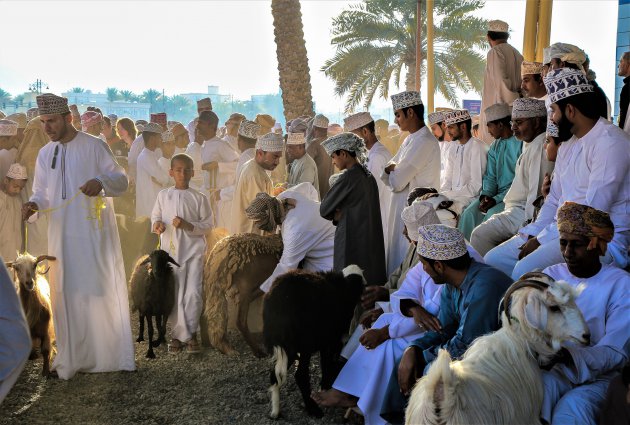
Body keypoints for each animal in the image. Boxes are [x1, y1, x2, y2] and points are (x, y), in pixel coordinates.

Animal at [266, 264, 366, 418]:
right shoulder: (333, 339)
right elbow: (328, 362)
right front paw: (325, 387)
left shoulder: (326, 340)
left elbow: (326, 362)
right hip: (304, 343)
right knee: (300, 375)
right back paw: (313, 409)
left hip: (289, 346)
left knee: (274, 375)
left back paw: (276, 412)